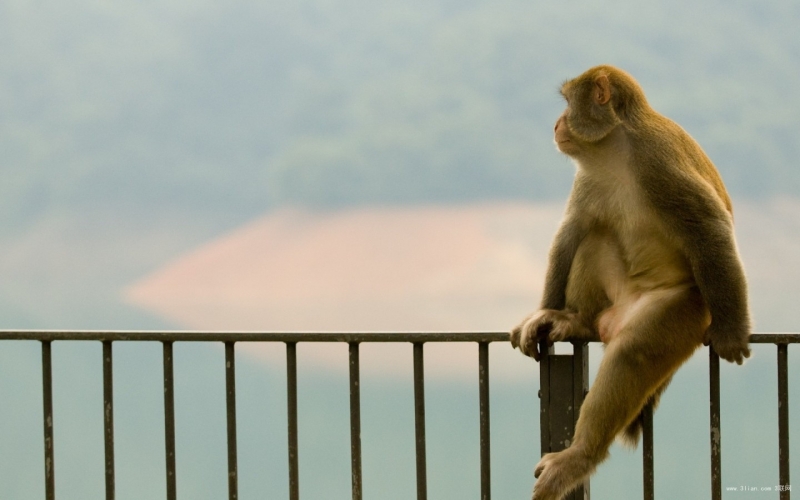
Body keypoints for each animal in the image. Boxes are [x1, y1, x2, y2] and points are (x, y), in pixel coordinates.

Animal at [512, 65, 752, 500]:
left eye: (568, 104)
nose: (556, 123)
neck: (615, 151)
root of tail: (614, 317)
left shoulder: (659, 164)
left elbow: (709, 227)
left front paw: (732, 331)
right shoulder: (588, 178)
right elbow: (572, 232)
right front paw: (544, 313)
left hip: (686, 308)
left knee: (632, 353)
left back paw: (579, 457)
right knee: (594, 237)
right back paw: (575, 320)